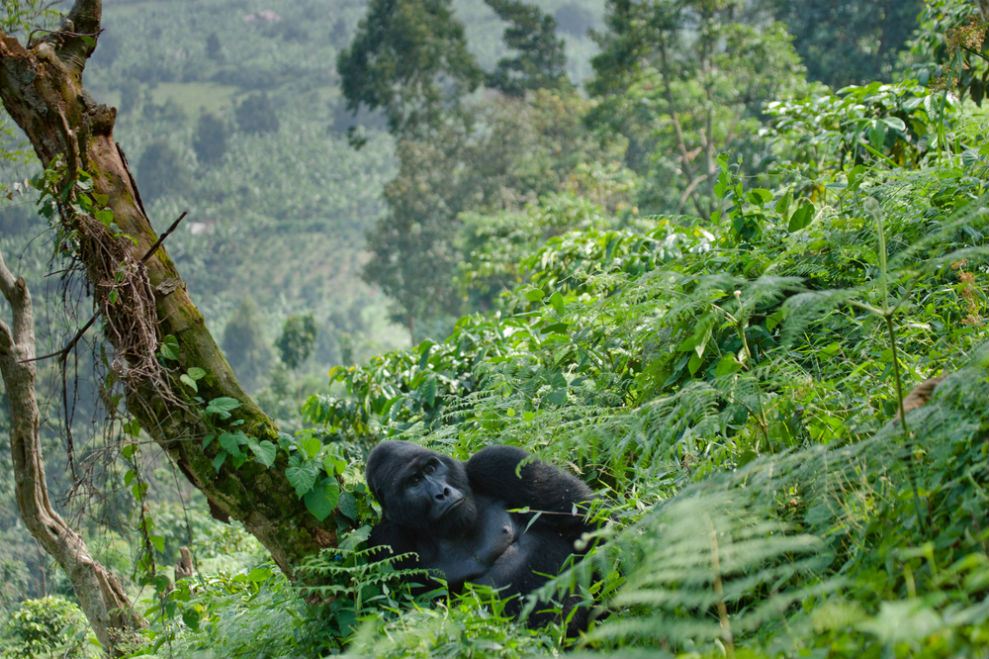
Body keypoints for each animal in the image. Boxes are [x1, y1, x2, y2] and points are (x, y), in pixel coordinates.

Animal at [362, 444, 596, 624]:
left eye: (431, 468)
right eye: (414, 481)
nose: (442, 492)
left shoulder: (498, 462)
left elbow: (586, 519)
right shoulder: (387, 539)